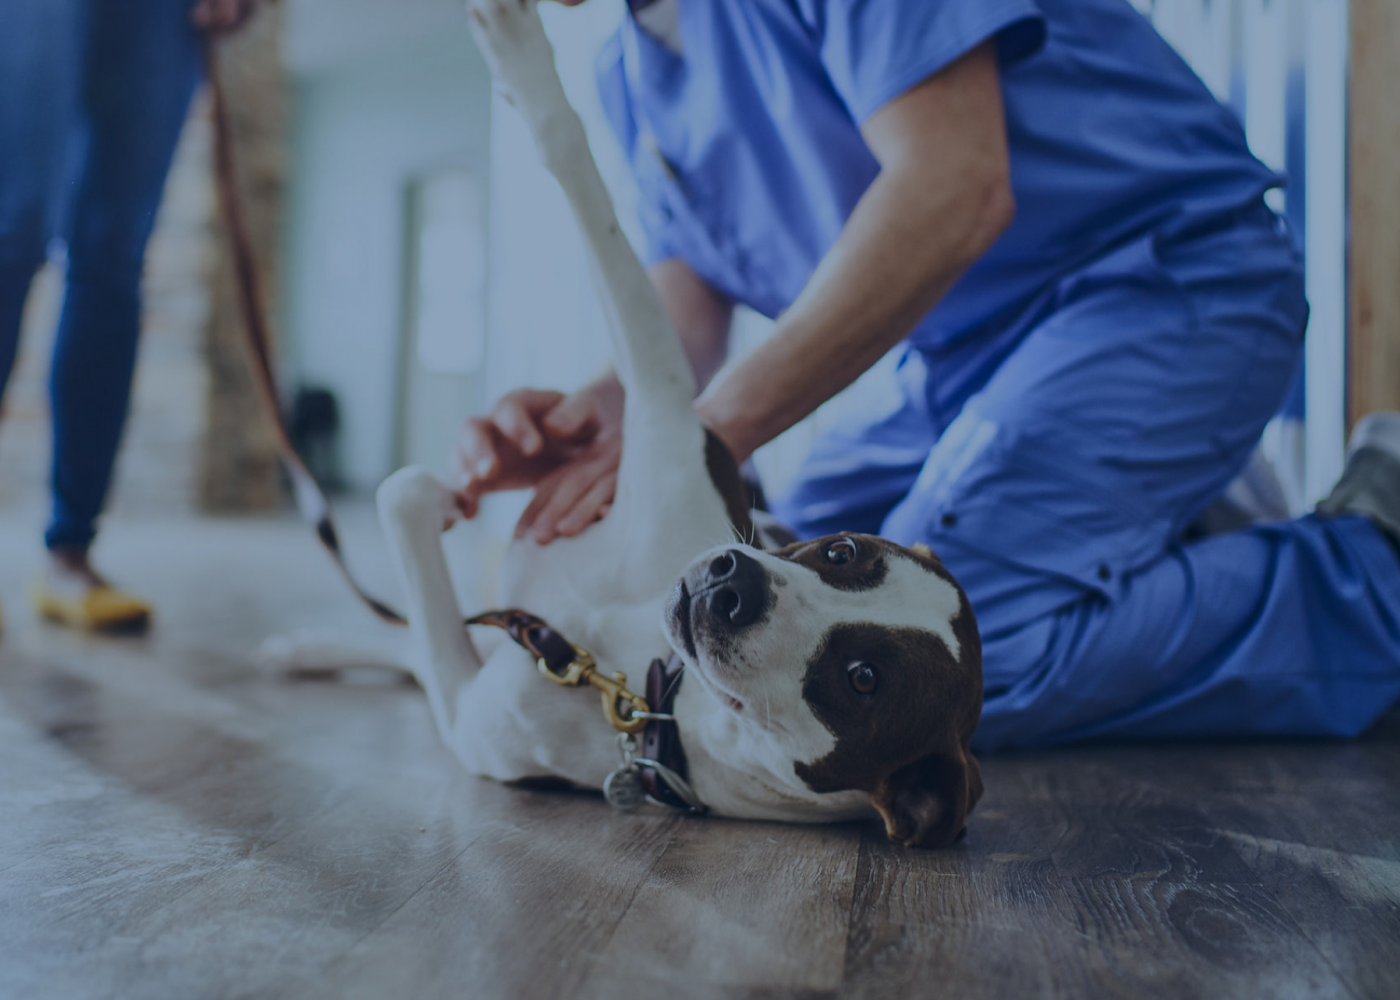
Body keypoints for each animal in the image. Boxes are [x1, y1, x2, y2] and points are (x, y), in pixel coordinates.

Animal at [264, 0, 985, 845]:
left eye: (862, 678)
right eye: (842, 550)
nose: (731, 583)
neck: (643, 683)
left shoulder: (472, 710)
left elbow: (404, 505)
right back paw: (308, 646)